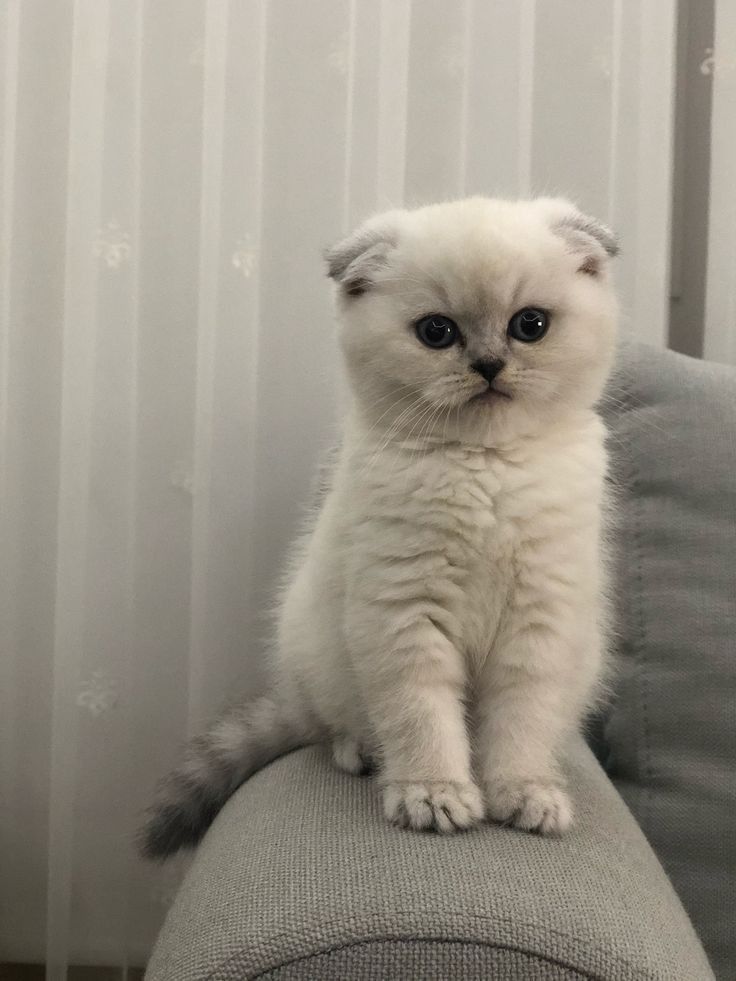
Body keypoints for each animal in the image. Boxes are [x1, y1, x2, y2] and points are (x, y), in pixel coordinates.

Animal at [141, 195, 620, 852]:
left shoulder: (540, 622)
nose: (489, 365)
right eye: (437, 332)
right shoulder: (404, 612)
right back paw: (362, 753)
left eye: (530, 325)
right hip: (319, 655)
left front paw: (524, 793)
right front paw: (435, 796)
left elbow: (520, 724)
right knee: (335, 725)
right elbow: (422, 719)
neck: (484, 464)